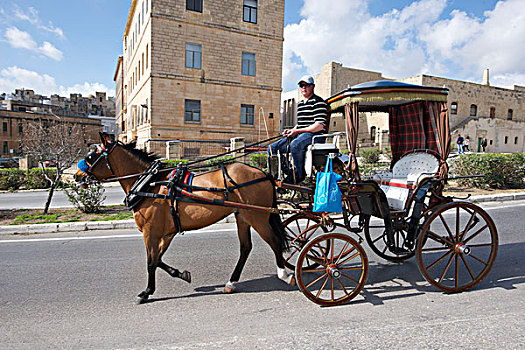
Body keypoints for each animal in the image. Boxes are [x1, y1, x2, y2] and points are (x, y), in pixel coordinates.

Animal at [75, 134, 292, 304]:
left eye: (90, 156)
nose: (77, 176)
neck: (150, 184)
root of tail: (264, 173)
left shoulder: (150, 232)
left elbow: (151, 261)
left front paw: (146, 292)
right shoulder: (166, 233)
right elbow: (158, 259)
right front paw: (181, 274)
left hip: (257, 216)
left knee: (274, 241)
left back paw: (284, 273)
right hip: (243, 216)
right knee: (246, 247)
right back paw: (231, 282)